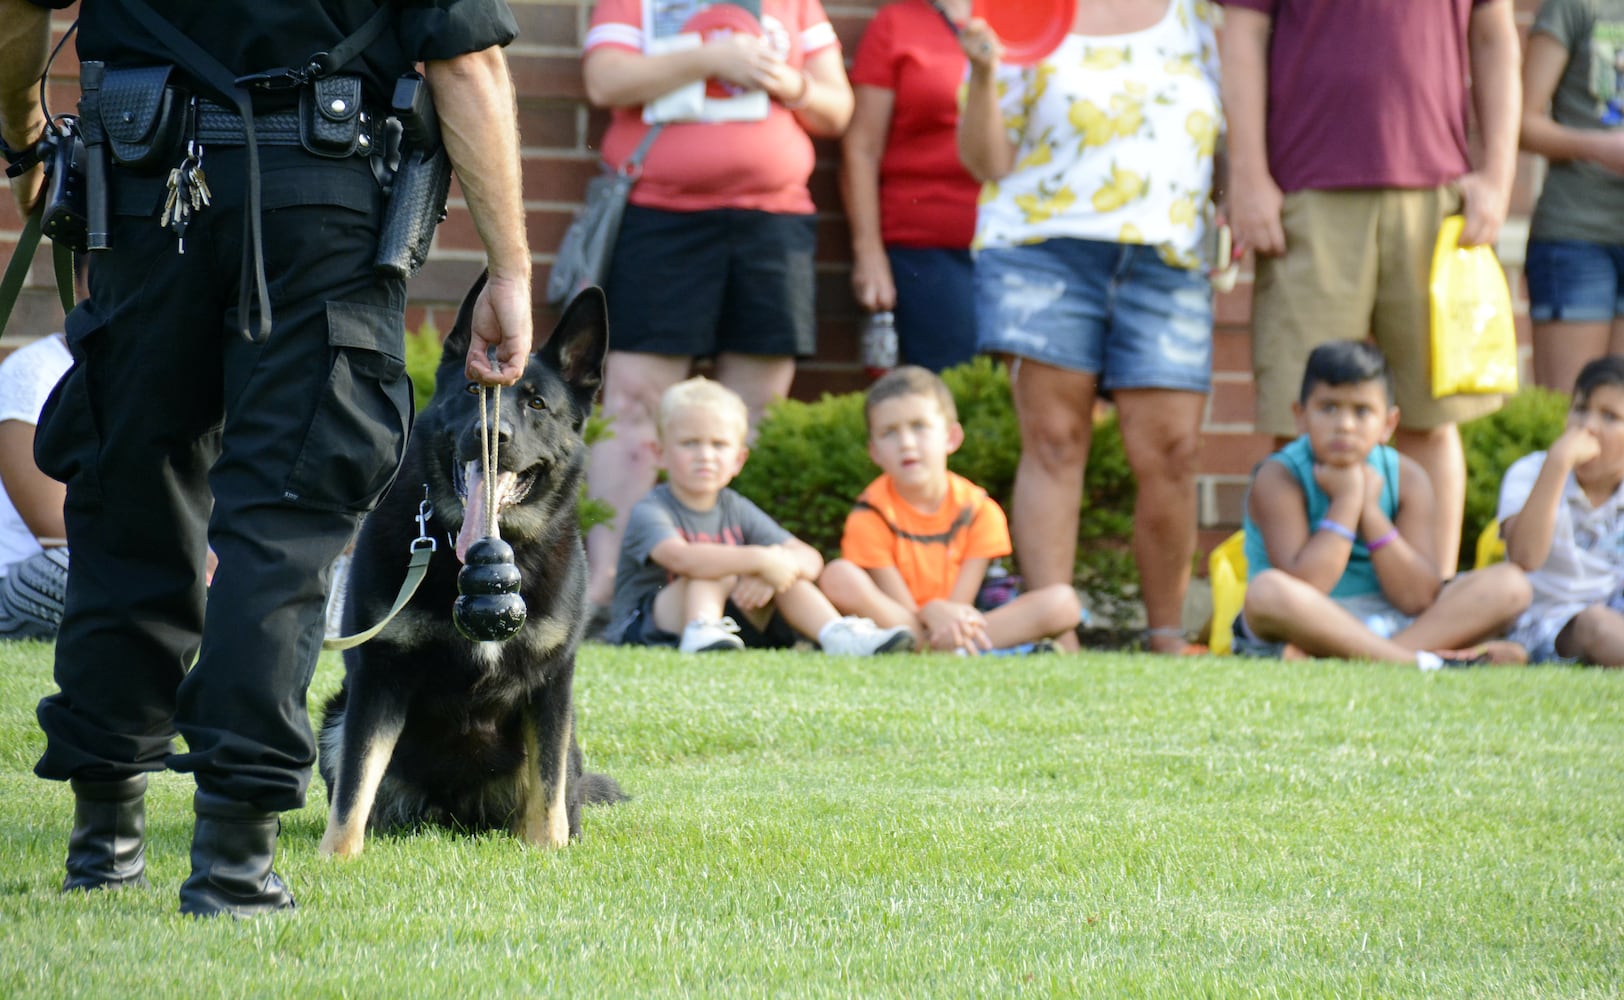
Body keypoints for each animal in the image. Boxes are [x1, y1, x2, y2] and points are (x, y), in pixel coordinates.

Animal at [316, 277, 620, 857]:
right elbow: (355, 784)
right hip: (334, 719)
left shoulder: (552, 688)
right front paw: (335, 860)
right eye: (471, 392)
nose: (493, 435)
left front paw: (550, 851)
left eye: (538, 404)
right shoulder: (378, 679)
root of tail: (454, 816)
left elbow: (548, 792)